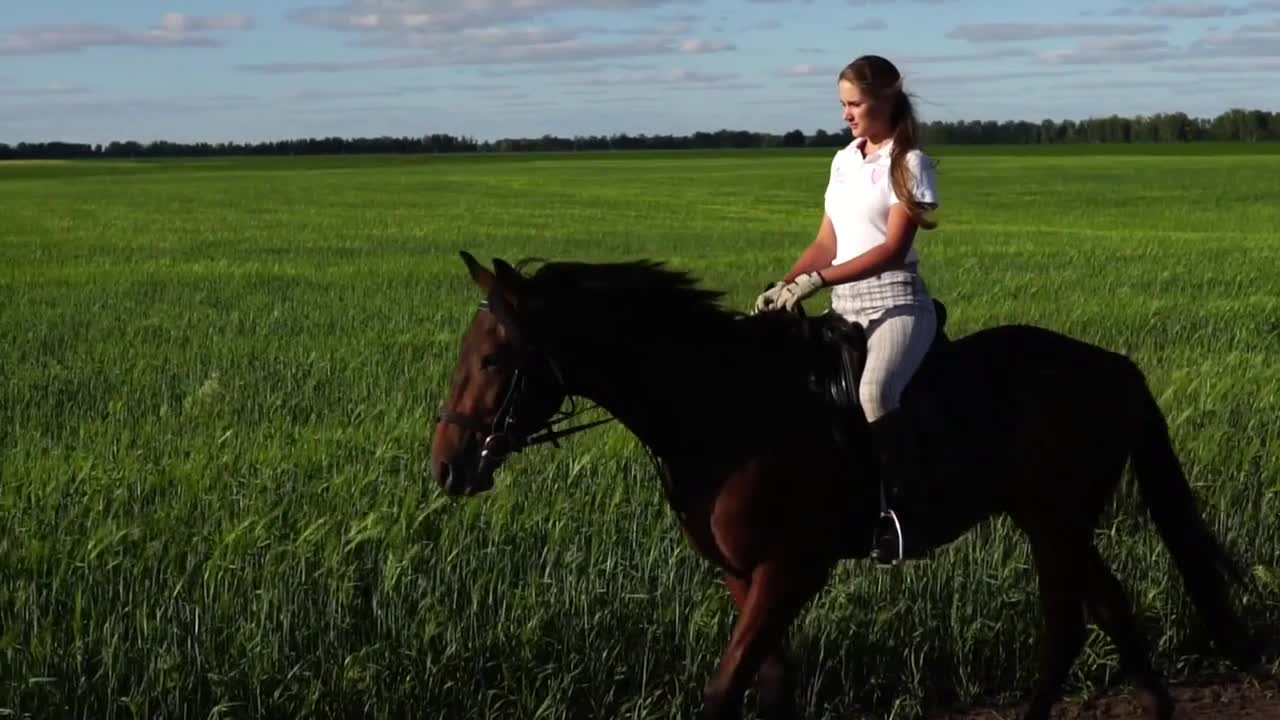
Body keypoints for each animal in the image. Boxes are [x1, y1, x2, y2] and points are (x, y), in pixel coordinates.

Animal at [432, 252, 1259, 717]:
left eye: (495, 358)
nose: (446, 466)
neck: (721, 404)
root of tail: (1115, 367)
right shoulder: (743, 574)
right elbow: (770, 687)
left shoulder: (793, 569)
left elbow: (724, 692)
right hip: (1052, 519)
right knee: (1103, 612)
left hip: (1056, 519)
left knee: (1073, 623)